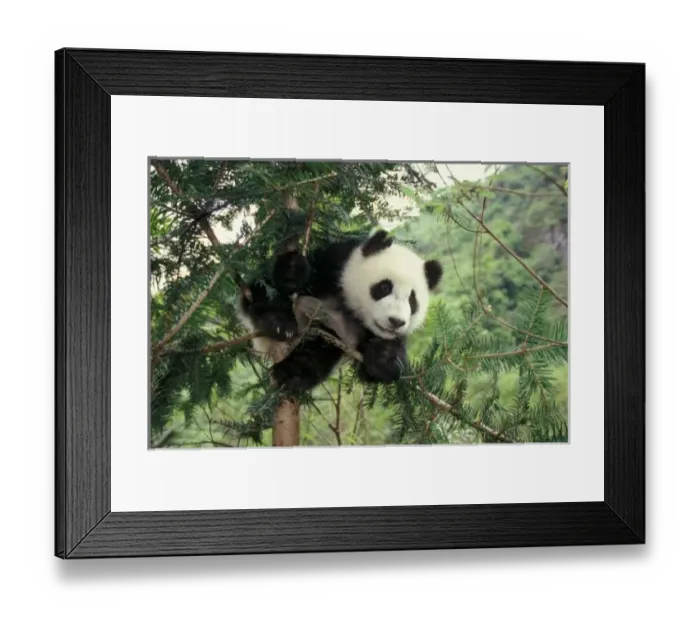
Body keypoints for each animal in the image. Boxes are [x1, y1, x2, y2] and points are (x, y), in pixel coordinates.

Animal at [236, 229, 443, 394]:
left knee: (318, 351)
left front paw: (383, 357)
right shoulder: (337, 263)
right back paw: (277, 322)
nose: (395, 321)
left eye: (412, 300)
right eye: (384, 287)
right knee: (262, 292)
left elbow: (378, 367)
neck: (350, 307)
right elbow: (304, 271)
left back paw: (290, 374)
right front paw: (292, 272)